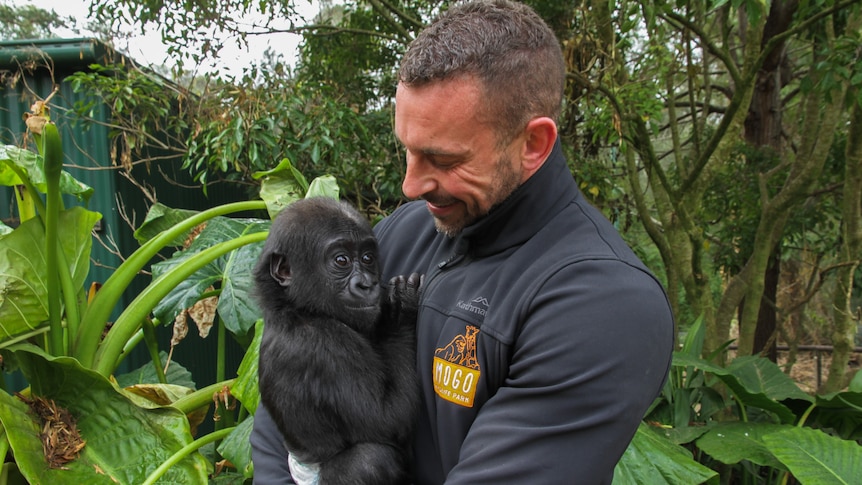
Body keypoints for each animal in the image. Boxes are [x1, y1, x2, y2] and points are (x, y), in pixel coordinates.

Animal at [253, 197, 422, 484]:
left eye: (367, 258)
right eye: (341, 260)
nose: (366, 284)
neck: (296, 308)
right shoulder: (326, 346)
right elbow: (387, 419)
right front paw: (399, 313)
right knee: (370, 460)